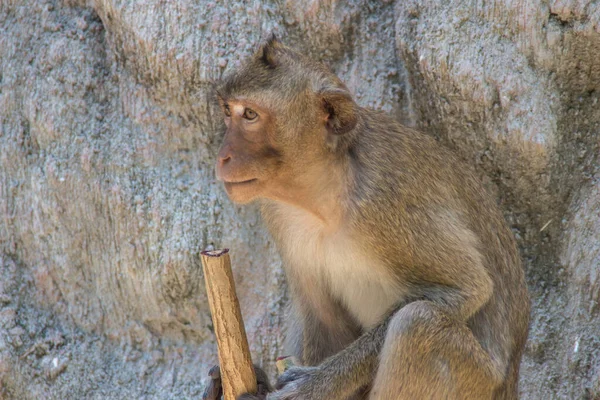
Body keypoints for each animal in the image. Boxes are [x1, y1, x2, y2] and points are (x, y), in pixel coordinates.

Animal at [204, 36, 528, 398]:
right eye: (227, 111)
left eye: (249, 114)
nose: (223, 156)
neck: (326, 193)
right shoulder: (279, 214)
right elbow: (325, 321)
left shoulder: (388, 204)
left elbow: (466, 289)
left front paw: (311, 387)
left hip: (477, 382)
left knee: (417, 322)